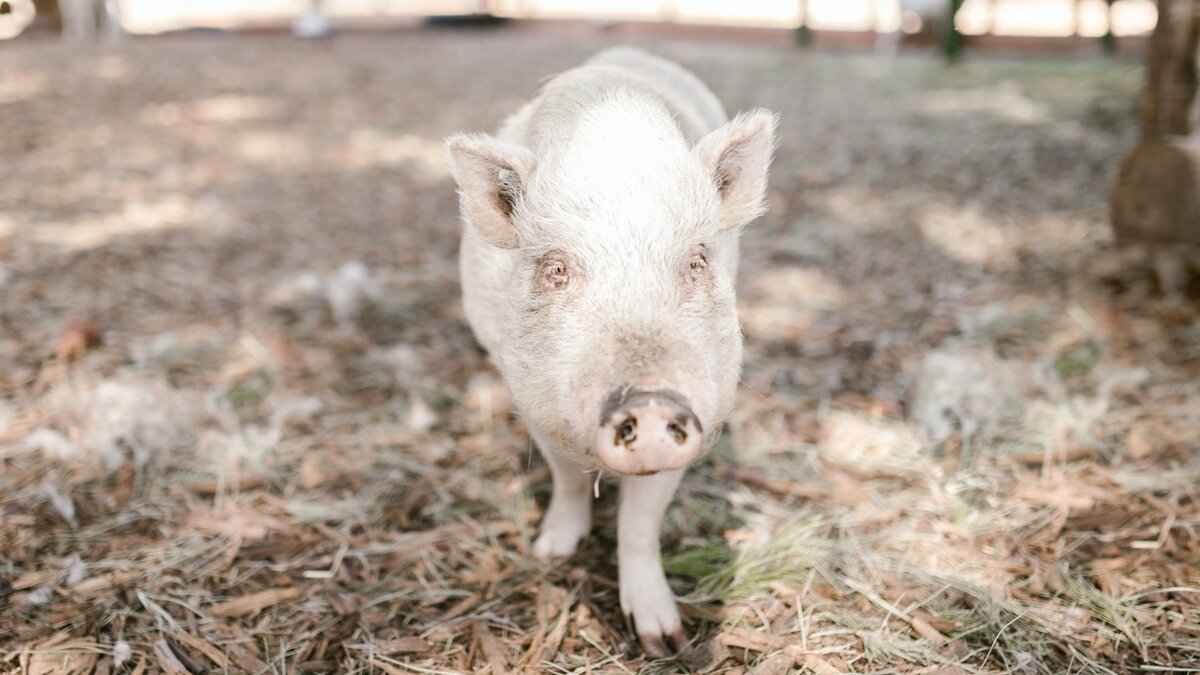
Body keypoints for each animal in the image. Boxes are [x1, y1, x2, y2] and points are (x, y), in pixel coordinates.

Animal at [444, 45, 777, 653]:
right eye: (556, 268)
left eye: (696, 260)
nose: (649, 401)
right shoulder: (533, 402)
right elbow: (567, 480)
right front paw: (551, 553)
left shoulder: (703, 408)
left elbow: (641, 523)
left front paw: (665, 641)